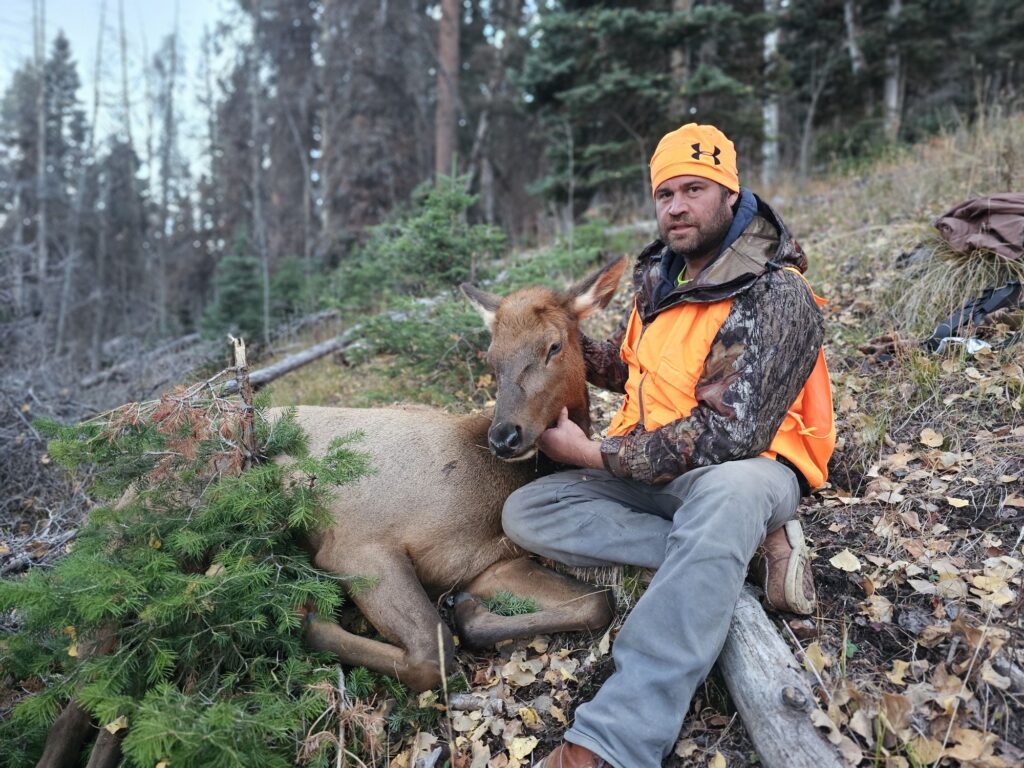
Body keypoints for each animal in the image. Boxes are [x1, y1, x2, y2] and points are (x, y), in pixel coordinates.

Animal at [279, 255, 629, 692]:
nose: (505, 437)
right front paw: (310, 622)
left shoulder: (489, 564)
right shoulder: (354, 543)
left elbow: (598, 601)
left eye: (554, 345)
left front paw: (469, 612)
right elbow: (434, 653)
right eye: (492, 358)